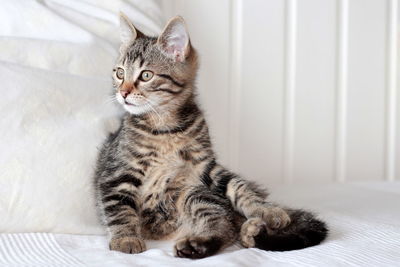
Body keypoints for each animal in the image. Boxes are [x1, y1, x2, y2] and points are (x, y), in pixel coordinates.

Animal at [94, 12, 328, 260]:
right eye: (120, 73)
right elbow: (119, 209)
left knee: (224, 225)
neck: (165, 127)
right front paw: (125, 238)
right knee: (228, 226)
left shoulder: (206, 165)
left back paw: (214, 240)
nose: (123, 93)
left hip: (194, 193)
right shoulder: (117, 172)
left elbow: (238, 186)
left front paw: (265, 209)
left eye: (146, 75)